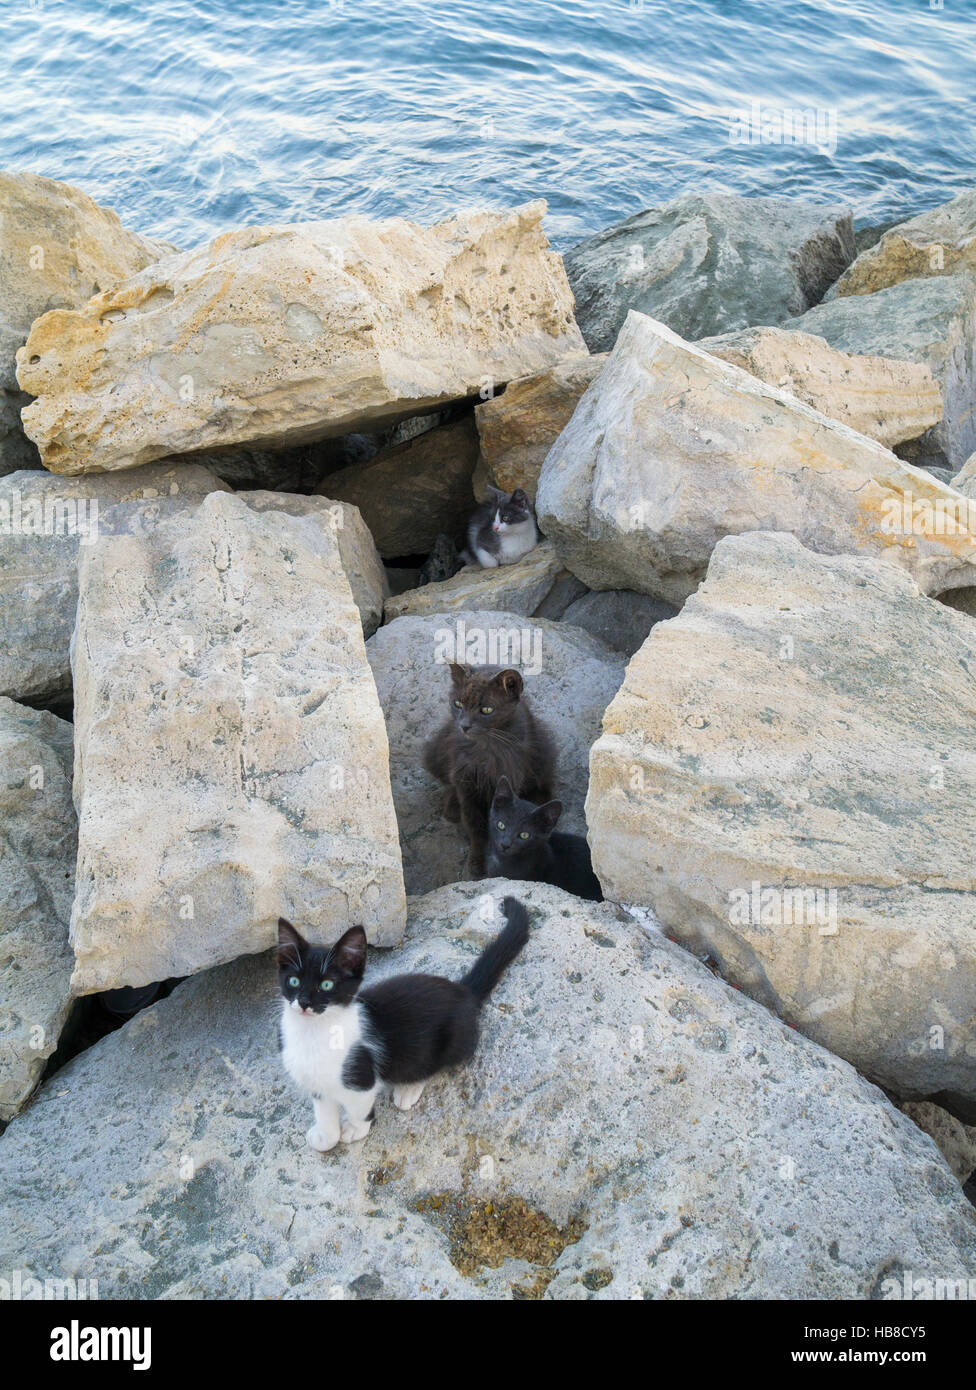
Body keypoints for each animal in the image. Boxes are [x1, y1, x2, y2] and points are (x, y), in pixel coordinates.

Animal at [279, 895, 531, 1145]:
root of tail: (462, 990)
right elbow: (324, 1112)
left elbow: (360, 1110)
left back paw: (409, 1088)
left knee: (435, 1062)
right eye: (293, 981)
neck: (313, 1032)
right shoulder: (317, 1085)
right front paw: (326, 1138)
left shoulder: (361, 1081)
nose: (304, 1002)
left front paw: (355, 1129)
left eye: (326, 985)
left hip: (455, 1042)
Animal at [422, 658, 558, 872]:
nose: (464, 726)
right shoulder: (466, 783)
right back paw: (451, 808)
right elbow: (474, 824)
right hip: (438, 749)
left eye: (486, 710)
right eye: (458, 703)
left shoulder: (509, 778)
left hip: (543, 754)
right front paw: (477, 862)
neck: (485, 749)